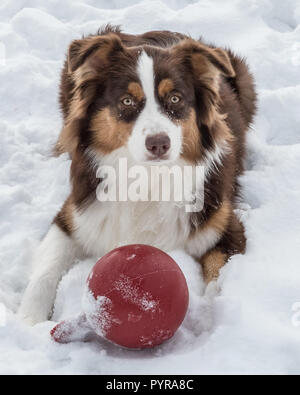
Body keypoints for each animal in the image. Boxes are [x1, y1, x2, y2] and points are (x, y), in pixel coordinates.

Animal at [18, 26, 255, 326]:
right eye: (127, 101)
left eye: (175, 98)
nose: (159, 144)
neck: (147, 177)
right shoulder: (72, 216)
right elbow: (45, 272)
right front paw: (28, 321)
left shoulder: (227, 227)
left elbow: (217, 278)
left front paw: (204, 317)